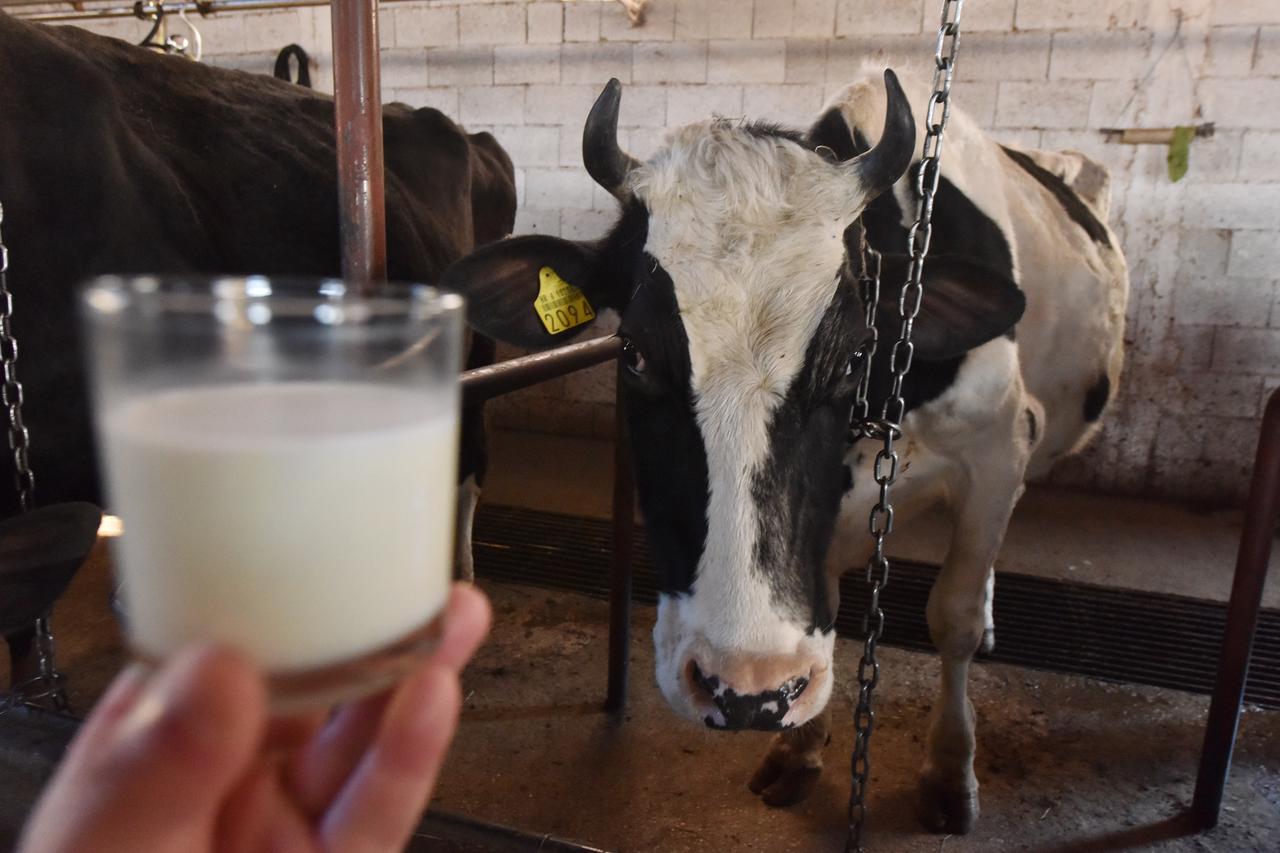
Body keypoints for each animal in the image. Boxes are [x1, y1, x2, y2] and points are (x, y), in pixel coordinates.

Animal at [440, 68, 1131, 829]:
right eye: (633, 353)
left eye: (855, 353)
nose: (744, 689)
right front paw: (800, 748)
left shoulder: (1000, 448)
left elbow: (951, 618)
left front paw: (951, 770)